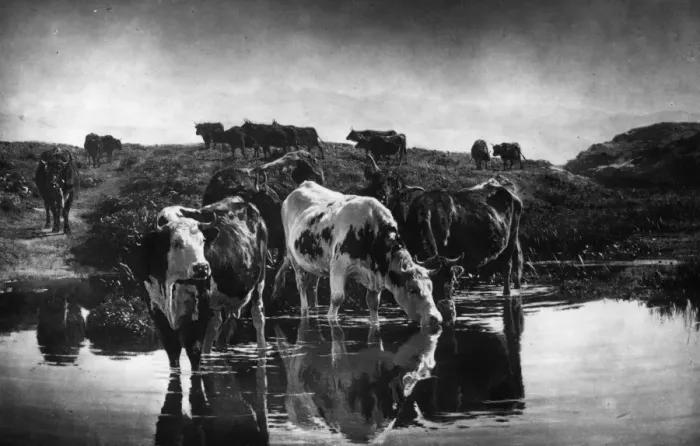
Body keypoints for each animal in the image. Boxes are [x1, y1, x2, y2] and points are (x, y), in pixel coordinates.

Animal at [141, 197, 268, 371]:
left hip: (259, 281)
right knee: (216, 323)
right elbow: (173, 352)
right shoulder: (155, 307)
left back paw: (262, 353)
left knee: (258, 315)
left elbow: (193, 349)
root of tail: (243, 202)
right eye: (176, 243)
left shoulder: (199, 304)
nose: (202, 267)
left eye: (202, 241)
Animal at [272, 181, 443, 327]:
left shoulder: (375, 278)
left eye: (431, 288)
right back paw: (305, 311)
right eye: (412, 290)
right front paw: (331, 319)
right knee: (301, 285)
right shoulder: (338, 267)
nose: (435, 318)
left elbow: (373, 305)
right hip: (294, 257)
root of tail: (303, 185)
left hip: (316, 263)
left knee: (313, 285)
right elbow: (337, 299)